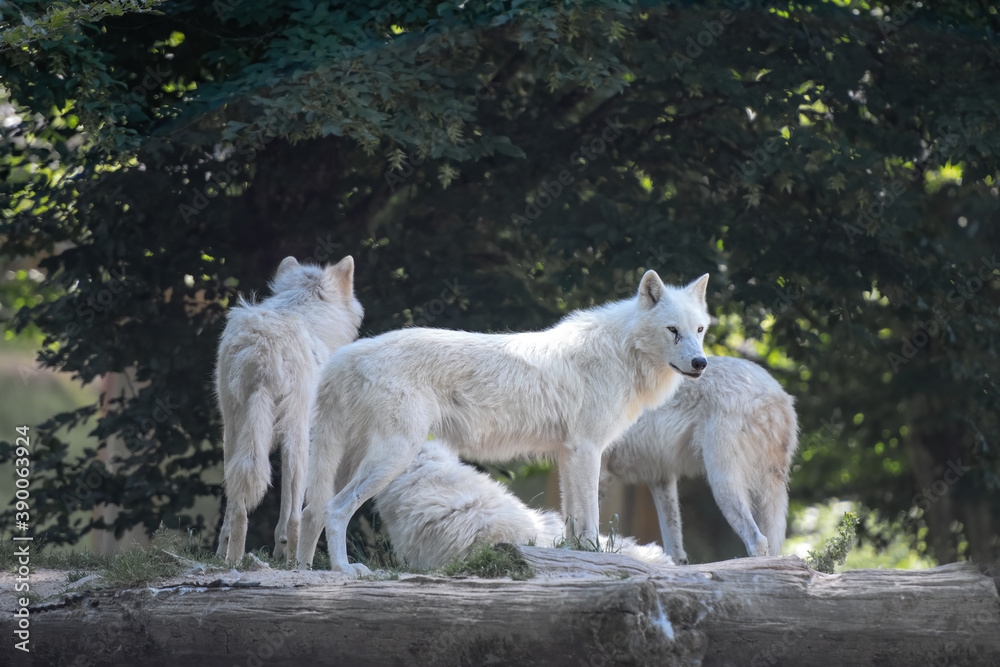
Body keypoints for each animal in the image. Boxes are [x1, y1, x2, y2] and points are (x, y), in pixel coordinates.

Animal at [215, 255, 363, 564]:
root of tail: (262, 349)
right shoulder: (302, 435)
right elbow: (291, 510)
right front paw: (285, 553)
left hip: (233, 435)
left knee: (237, 509)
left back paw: (230, 560)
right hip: (298, 438)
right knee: (296, 516)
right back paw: (297, 563)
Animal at [603, 355, 798, 563]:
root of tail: (775, 394)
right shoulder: (661, 476)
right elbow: (675, 547)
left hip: (722, 483)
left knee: (757, 539)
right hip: (770, 491)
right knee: (772, 544)